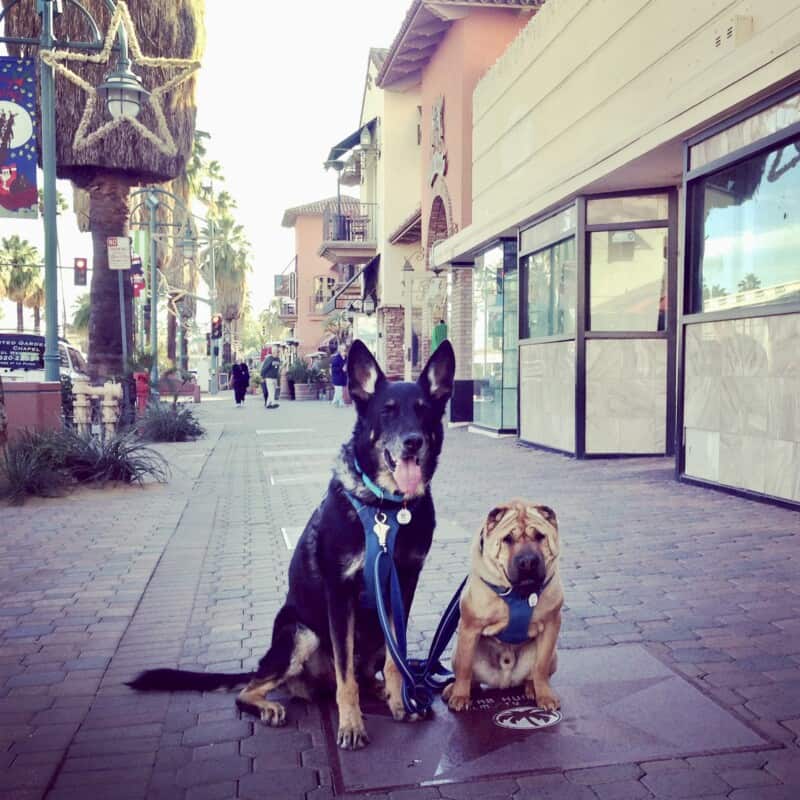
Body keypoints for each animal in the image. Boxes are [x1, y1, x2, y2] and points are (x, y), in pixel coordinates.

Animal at [130, 340, 456, 752]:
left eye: (424, 410)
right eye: (388, 411)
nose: (413, 442)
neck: (385, 509)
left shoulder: (404, 585)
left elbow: (395, 662)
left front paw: (401, 701)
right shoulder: (339, 594)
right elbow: (346, 677)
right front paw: (351, 725)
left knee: (369, 672)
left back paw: (384, 693)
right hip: (301, 633)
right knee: (254, 689)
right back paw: (270, 705)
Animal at [444, 500, 564, 712]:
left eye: (540, 536)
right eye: (508, 539)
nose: (528, 561)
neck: (519, 594)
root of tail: (505, 681)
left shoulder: (551, 624)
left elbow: (541, 667)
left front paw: (545, 696)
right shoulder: (469, 627)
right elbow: (465, 667)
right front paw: (460, 696)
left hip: (553, 656)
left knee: (533, 674)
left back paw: (532, 688)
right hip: (456, 652)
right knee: (468, 676)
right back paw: (454, 690)